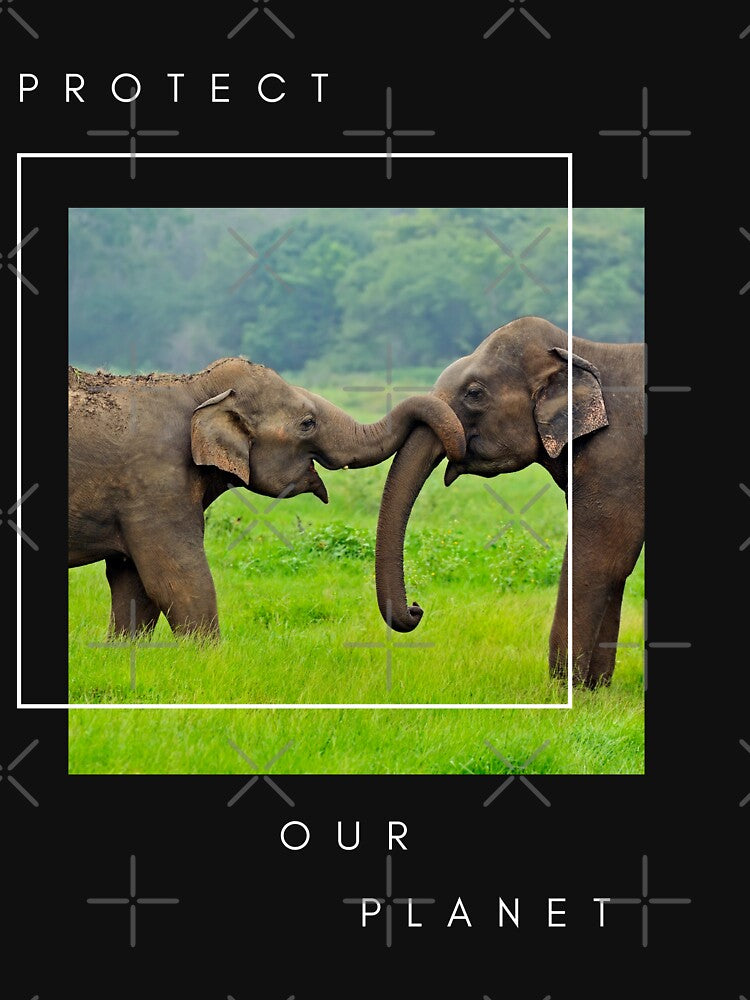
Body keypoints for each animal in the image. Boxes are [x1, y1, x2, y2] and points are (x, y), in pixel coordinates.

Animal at [68, 357, 465, 638]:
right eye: (307, 423)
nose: (417, 607)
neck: (195, 387)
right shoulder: (154, 483)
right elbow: (175, 578)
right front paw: (209, 661)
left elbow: (132, 581)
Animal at [374, 316, 644, 688]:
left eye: (474, 394)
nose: (417, 608)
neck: (581, 350)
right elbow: (614, 570)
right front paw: (595, 691)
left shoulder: (617, 461)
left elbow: (599, 562)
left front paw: (564, 691)